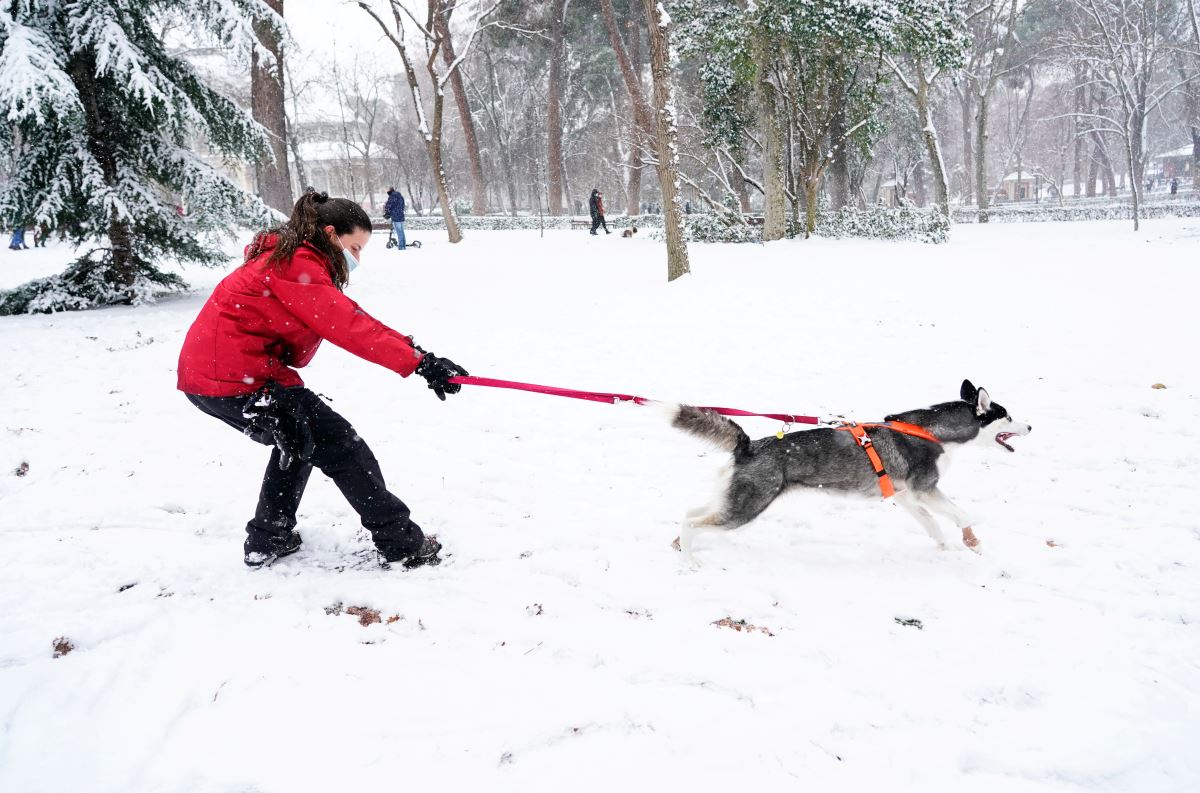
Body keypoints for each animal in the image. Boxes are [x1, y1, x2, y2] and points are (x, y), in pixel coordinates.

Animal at [676, 379, 1032, 556]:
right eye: (1009, 417)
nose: (1030, 427)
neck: (933, 431)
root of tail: (748, 446)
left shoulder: (907, 496)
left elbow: (931, 523)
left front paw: (946, 546)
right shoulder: (925, 490)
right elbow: (962, 515)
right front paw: (972, 541)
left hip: (734, 499)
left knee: (689, 514)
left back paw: (678, 545)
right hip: (745, 509)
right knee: (693, 523)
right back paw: (689, 560)